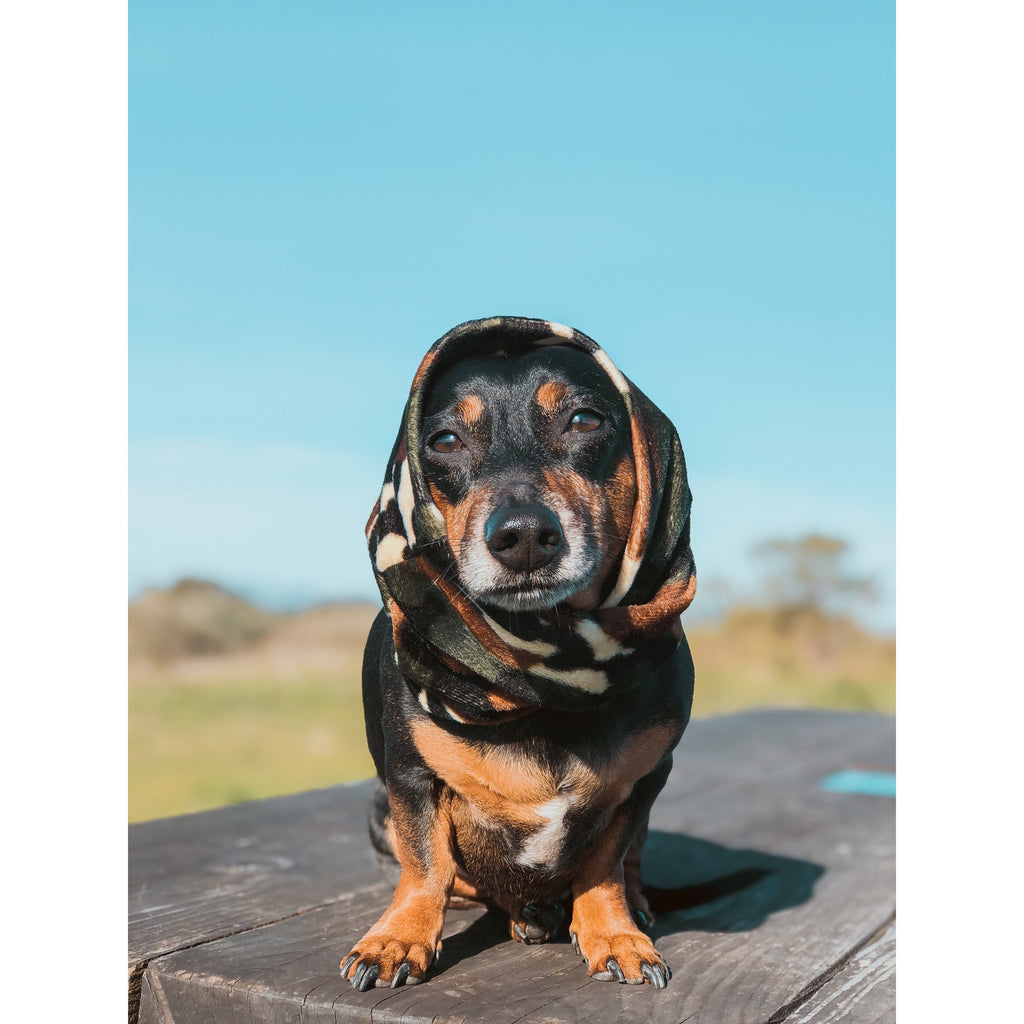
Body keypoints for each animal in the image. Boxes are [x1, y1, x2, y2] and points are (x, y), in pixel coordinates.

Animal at [342, 317, 696, 991]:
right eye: (444, 439)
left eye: (585, 420)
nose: (524, 536)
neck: (543, 672)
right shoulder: (410, 778)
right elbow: (425, 864)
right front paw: (397, 939)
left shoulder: (643, 781)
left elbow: (606, 864)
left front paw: (615, 933)